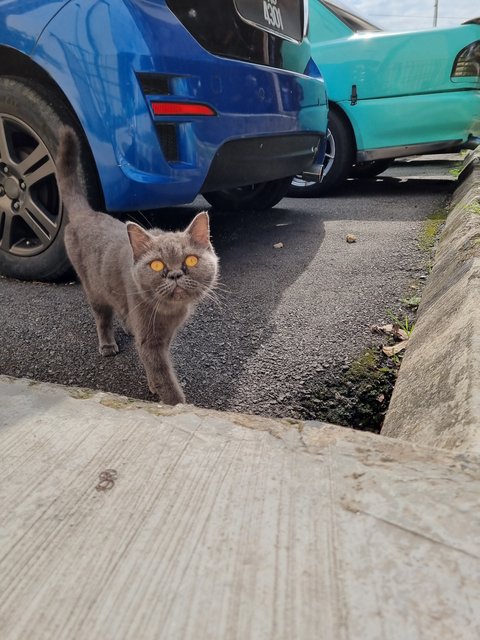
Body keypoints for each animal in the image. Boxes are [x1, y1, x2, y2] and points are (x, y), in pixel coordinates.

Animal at [56, 127, 219, 402]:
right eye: (156, 266)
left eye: (190, 260)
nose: (175, 274)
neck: (169, 313)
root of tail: (86, 214)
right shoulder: (150, 340)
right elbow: (164, 377)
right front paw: (175, 403)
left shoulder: (164, 335)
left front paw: (153, 385)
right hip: (93, 288)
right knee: (102, 317)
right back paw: (107, 344)